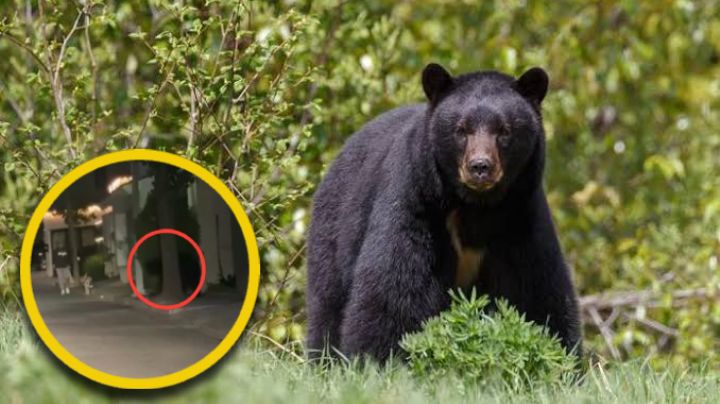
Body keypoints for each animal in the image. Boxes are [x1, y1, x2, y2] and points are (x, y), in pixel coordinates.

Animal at [306, 63, 582, 362]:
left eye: (504, 130)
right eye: (461, 129)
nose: (480, 167)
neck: (476, 206)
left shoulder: (519, 217)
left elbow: (536, 290)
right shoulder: (416, 203)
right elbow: (395, 287)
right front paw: (377, 359)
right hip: (334, 229)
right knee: (328, 302)